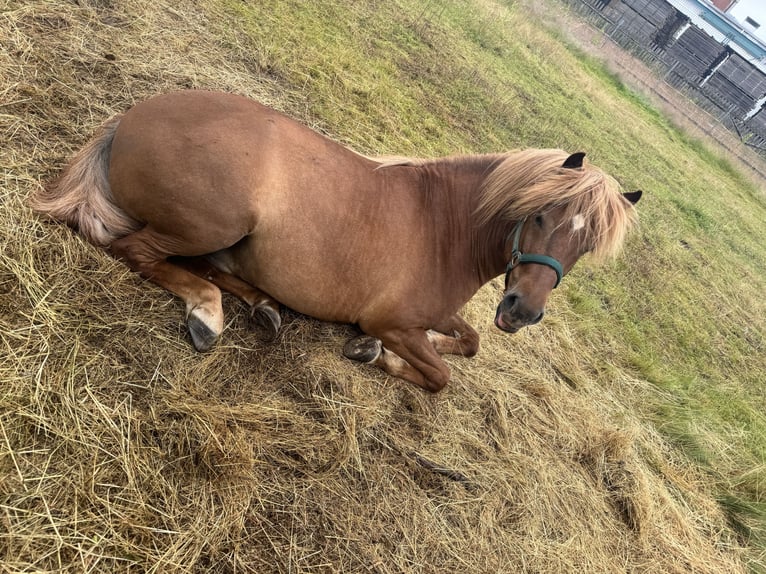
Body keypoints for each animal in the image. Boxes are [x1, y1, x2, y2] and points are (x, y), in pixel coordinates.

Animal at [31, 91, 640, 396]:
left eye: (586, 248)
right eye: (539, 215)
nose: (521, 312)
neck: (442, 228)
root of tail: (133, 117)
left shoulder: (434, 315)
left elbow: (468, 343)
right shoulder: (392, 322)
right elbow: (440, 378)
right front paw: (376, 356)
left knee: (208, 267)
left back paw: (262, 305)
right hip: (211, 223)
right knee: (140, 252)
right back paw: (208, 312)